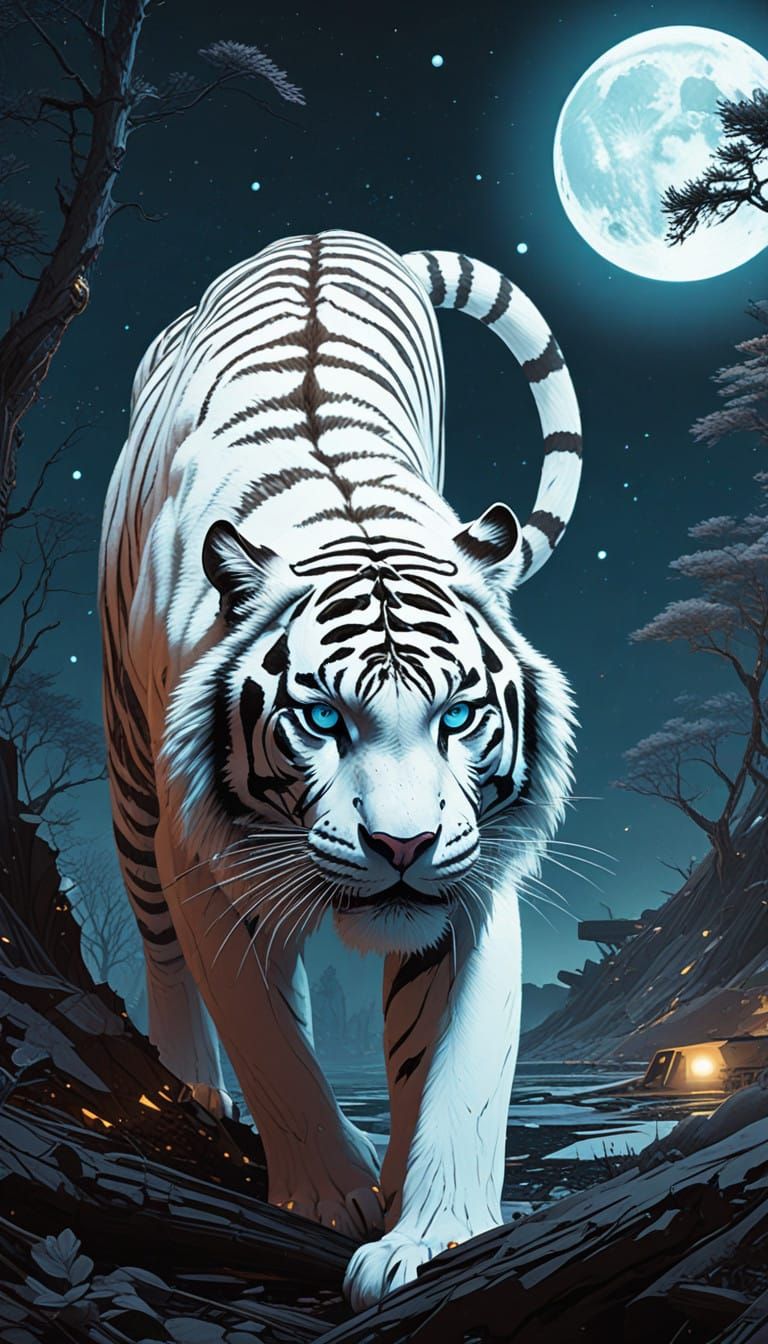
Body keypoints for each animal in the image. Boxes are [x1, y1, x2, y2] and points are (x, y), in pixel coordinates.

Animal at [99, 229, 581, 1310]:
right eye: (322, 717)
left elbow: (456, 1067)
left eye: (458, 716)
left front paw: (433, 1230)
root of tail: (343, 237)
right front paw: (330, 1193)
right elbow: (267, 1037)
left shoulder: (475, 871)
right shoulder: (199, 858)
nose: (402, 845)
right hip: (130, 770)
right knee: (161, 946)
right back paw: (189, 1085)